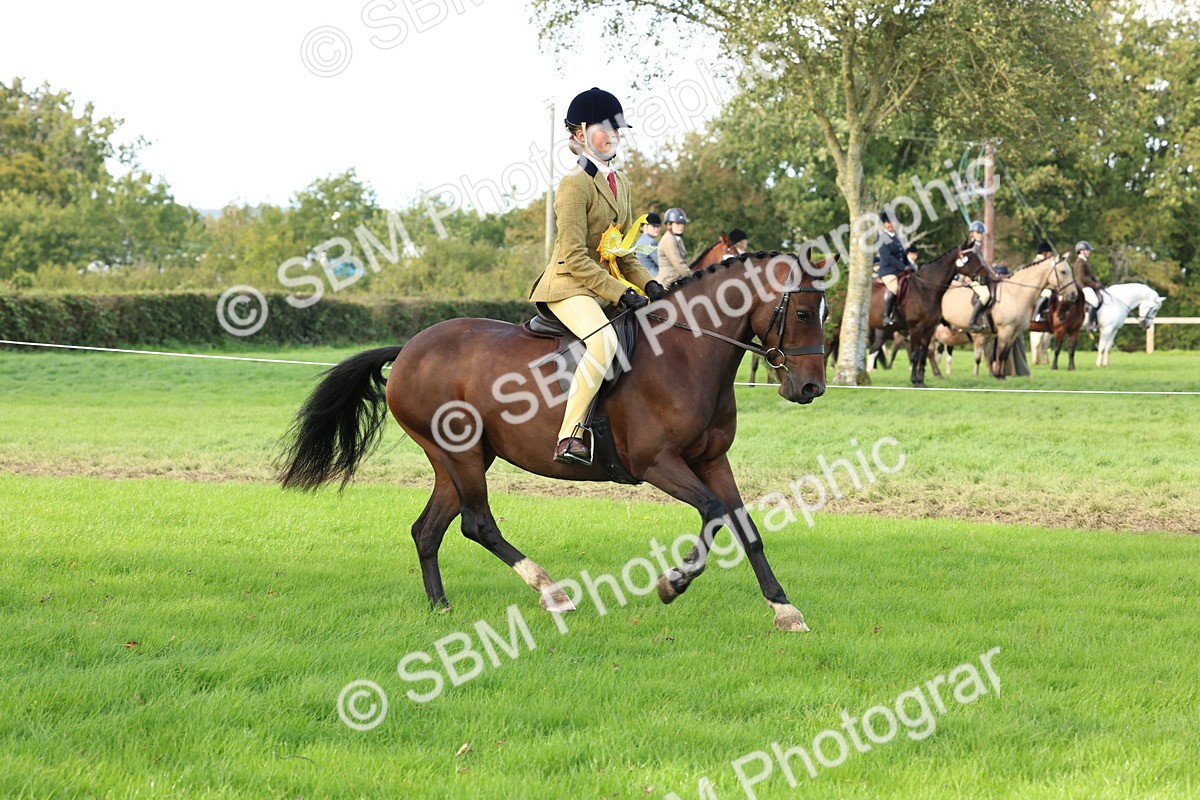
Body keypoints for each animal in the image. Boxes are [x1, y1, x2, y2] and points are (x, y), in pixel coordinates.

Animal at [278, 251, 830, 633]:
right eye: (804, 313)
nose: (811, 388)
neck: (685, 353)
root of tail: (411, 348)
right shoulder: (658, 463)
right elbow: (714, 512)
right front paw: (671, 584)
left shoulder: (712, 460)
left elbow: (745, 527)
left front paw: (784, 609)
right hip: (460, 455)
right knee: (477, 524)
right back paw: (552, 592)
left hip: (459, 459)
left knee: (427, 530)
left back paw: (441, 607)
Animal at [867, 242, 990, 388]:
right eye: (971, 258)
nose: (986, 277)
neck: (925, 289)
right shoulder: (916, 328)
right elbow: (915, 355)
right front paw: (915, 381)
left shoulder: (929, 329)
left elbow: (923, 355)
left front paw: (921, 381)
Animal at [941, 255, 1078, 379]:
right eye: (1063, 271)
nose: (1074, 294)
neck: (1015, 292)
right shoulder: (1005, 330)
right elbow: (1000, 354)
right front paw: (999, 375)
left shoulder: (1014, 332)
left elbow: (1005, 354)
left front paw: (1001, 374)